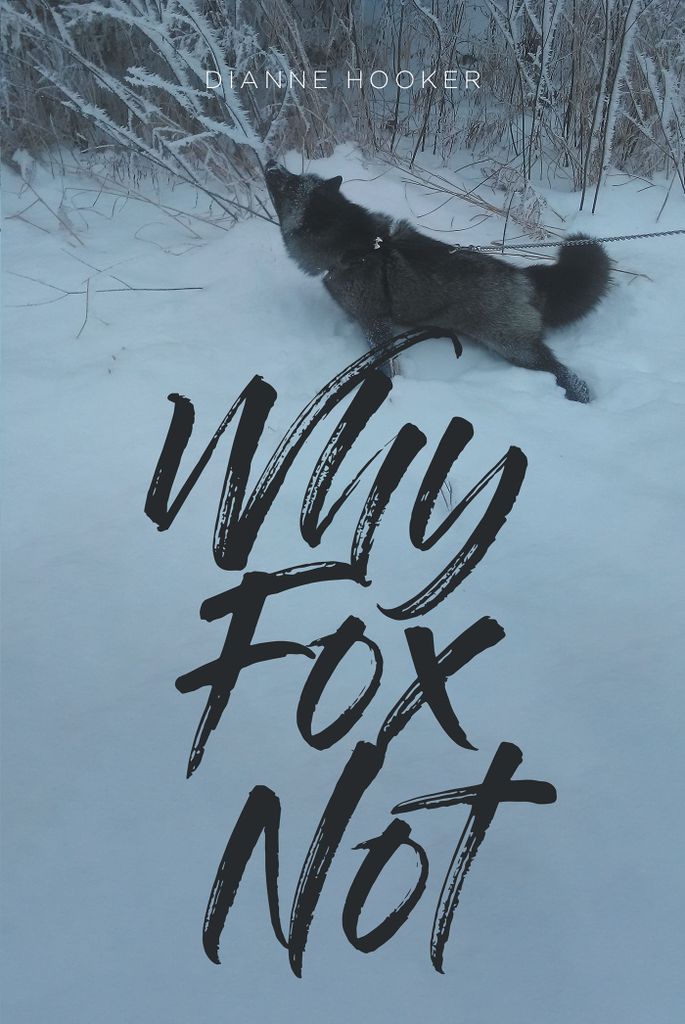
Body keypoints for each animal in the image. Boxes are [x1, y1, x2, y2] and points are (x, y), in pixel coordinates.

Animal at [264, 160, 611, 402]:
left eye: (289, 184)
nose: (271, 163)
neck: (359, 248)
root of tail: (523, 277)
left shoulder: (375, 323)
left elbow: (386, 365)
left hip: (515, 347)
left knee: (567, 375)